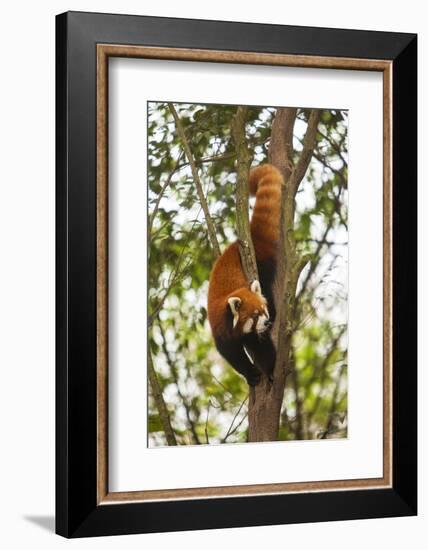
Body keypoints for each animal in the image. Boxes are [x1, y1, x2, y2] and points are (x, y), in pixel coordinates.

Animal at [206, 166, 282, 386]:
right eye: (255, 315)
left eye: (263, 310)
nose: (266, 322)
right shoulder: (221, 330)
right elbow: (232, 355)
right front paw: (251, 374)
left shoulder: (255, 335)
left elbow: (262, 346)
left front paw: (270, 368)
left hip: (263, 266)